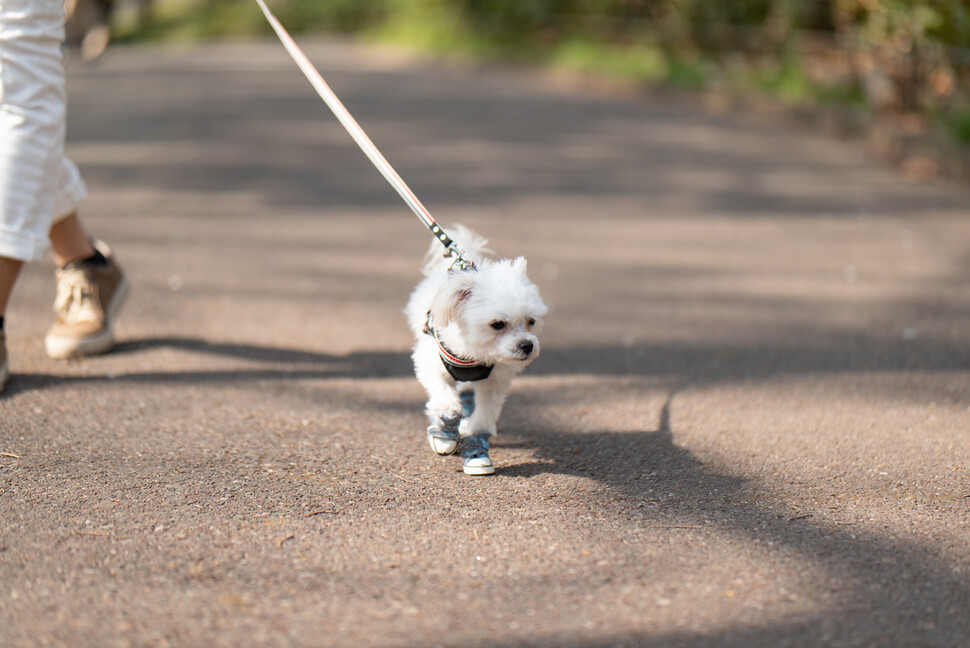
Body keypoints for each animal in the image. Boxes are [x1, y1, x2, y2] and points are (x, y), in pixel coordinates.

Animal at [404, 227, 548, 476]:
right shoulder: (429, 364)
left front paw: (476, 441)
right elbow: (444, 398)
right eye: (497, 324)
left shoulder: (494, 382)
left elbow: (484, 415)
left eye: (531, 321)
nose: (527, 345)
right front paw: (446, 425)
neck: (474, 355)